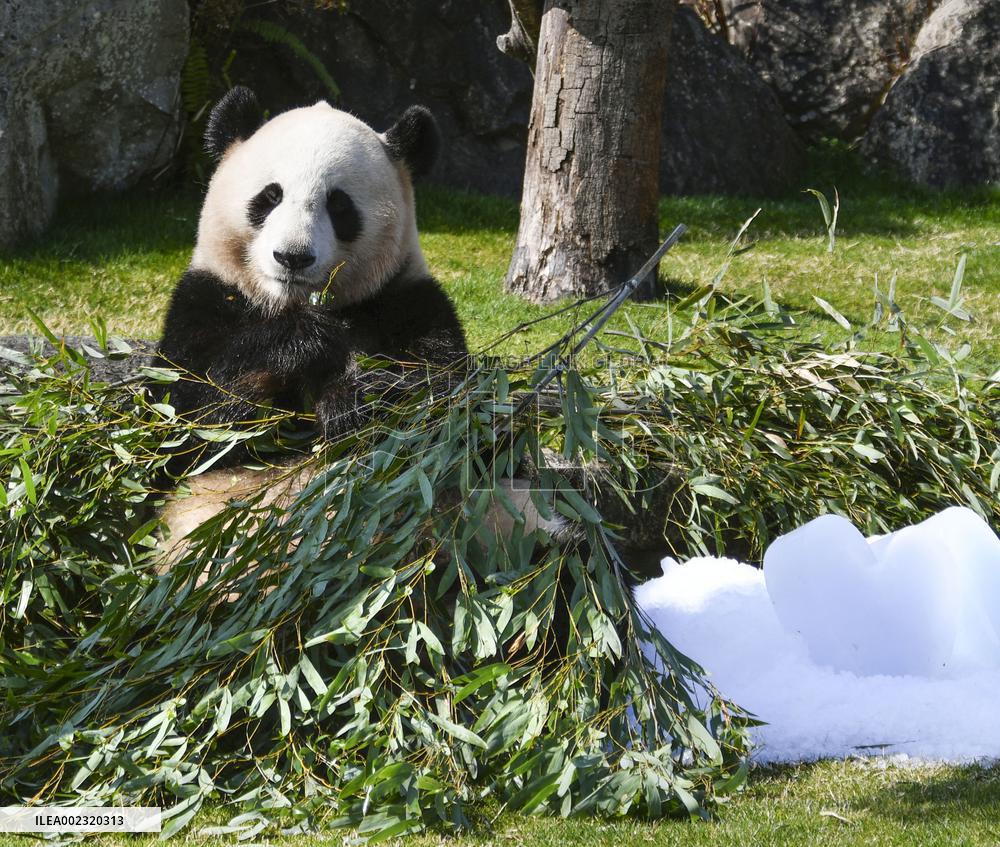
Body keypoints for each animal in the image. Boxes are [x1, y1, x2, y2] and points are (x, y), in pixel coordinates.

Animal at [155, 87, 564, 554]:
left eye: (339, 204)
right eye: (270, 196)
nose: (292, 257)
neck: (298, 302)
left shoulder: (411, 305)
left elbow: (456, 413)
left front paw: (351, 402)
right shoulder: (205, 301)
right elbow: (191, 422)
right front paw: (306, 344)